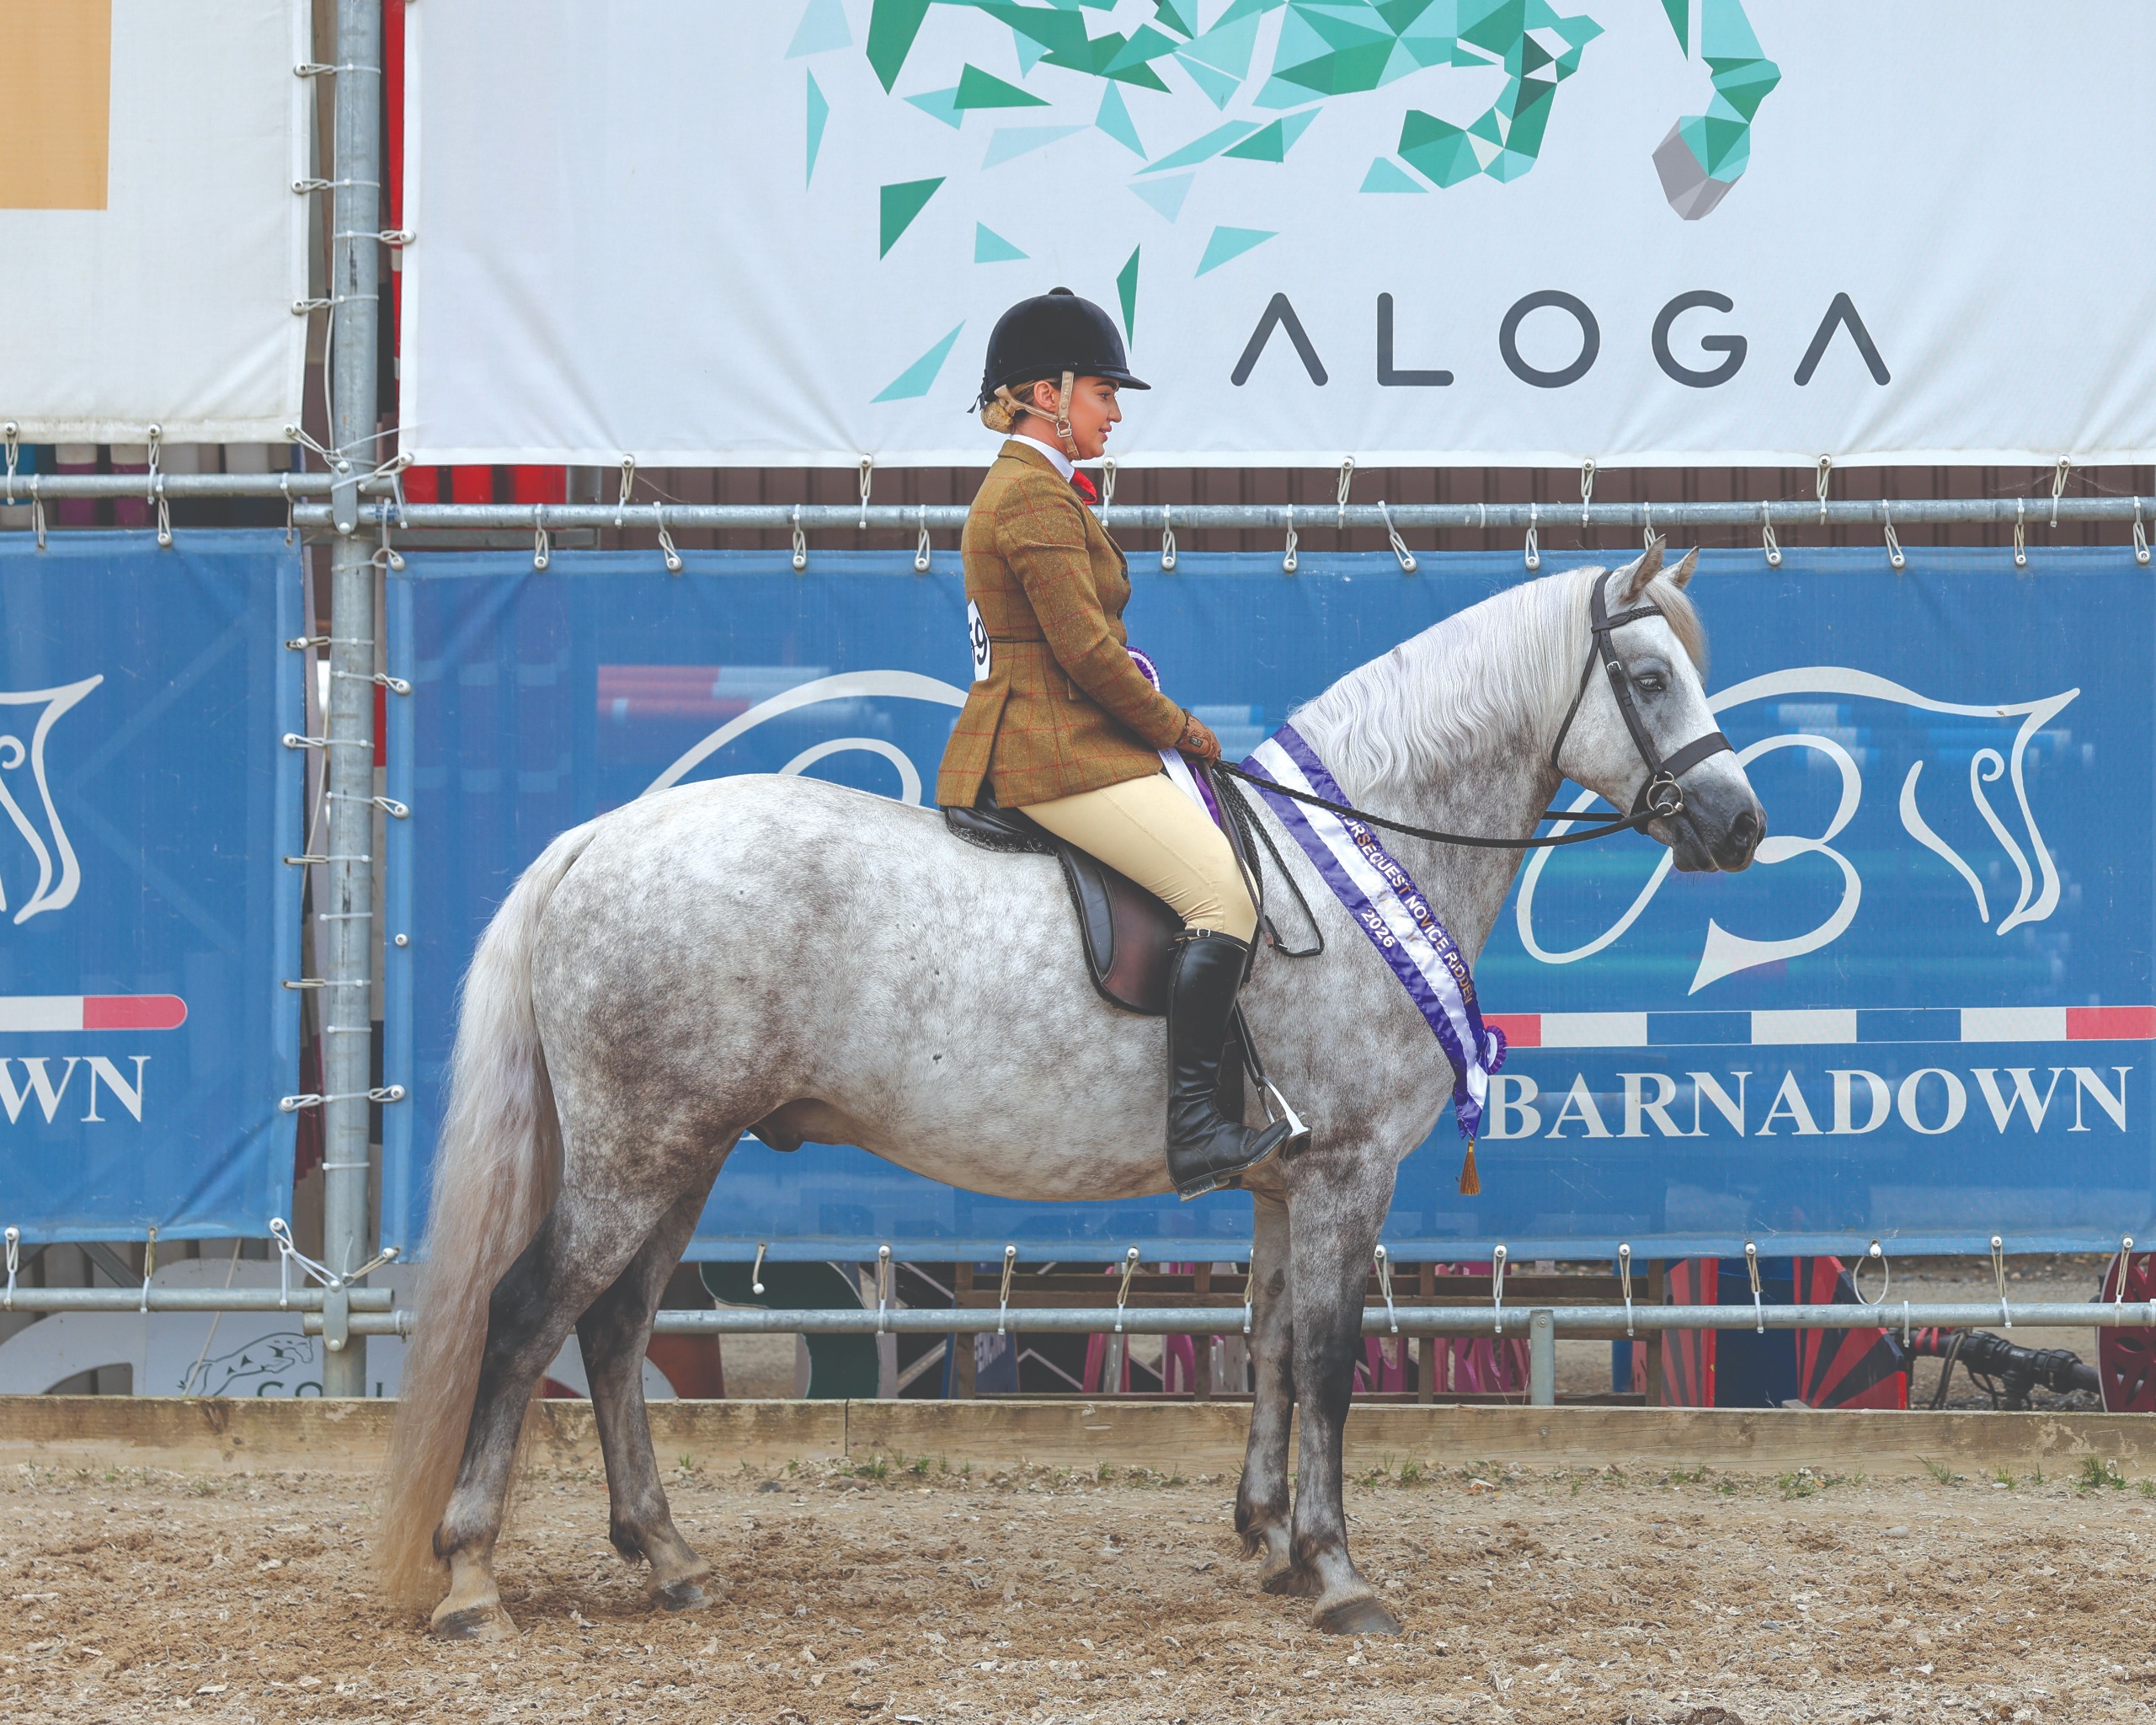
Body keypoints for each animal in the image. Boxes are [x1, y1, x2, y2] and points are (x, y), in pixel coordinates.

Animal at [378, 541, 1765, 1639]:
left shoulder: (1283, 1179)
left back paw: (668, 1558)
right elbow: (1327, 1362)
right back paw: (472, 1579)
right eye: (1649, 680)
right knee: (528, 1316)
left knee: (613, 1329)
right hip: (641, 1149)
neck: (1364, 849)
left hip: (685, 1151)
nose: (1741, 826)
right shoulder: (1346, 1169)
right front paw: (1337, 1573)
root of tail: (598, 838)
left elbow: (1267, 1345)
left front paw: (1267, 1540)